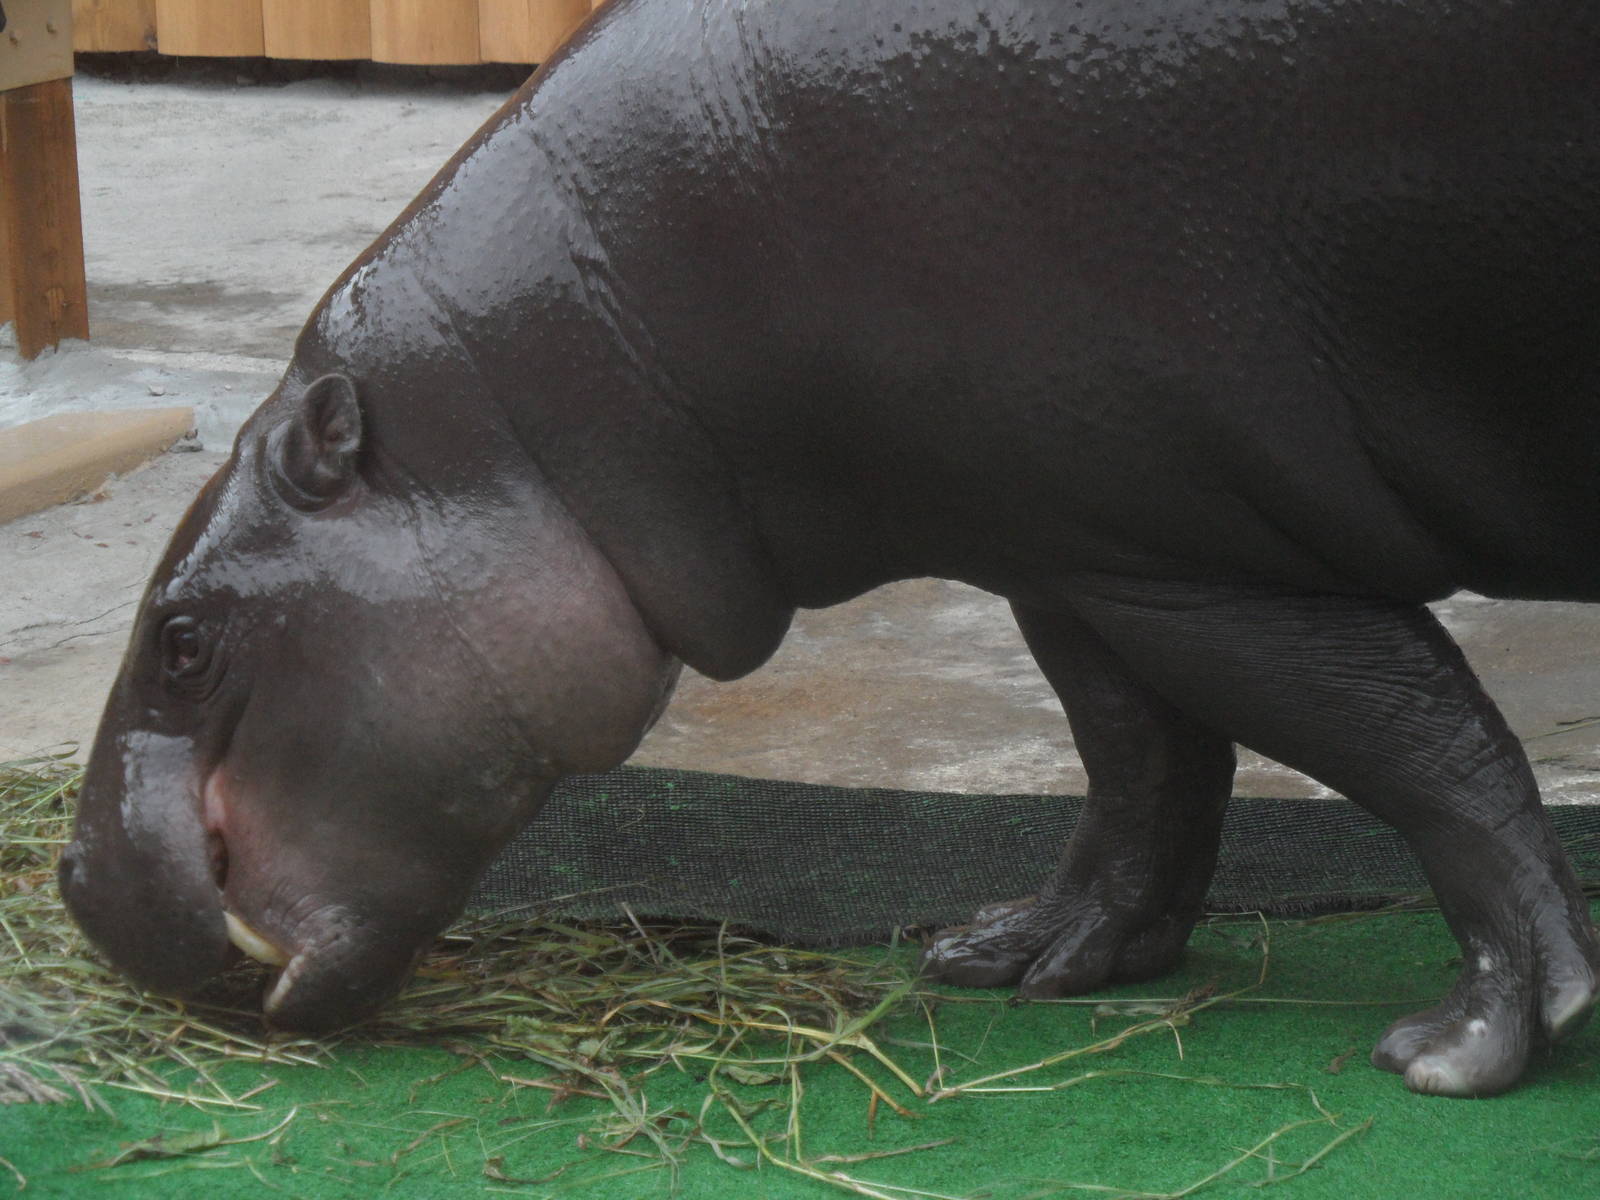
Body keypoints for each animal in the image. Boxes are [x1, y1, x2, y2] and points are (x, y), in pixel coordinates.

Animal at [58, 0, 1600, 1097]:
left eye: (182, 640)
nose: (69, 882)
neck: (530, 413)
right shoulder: (1072, 543)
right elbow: (1140, 762)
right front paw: (1018, 956)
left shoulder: (1200, 564)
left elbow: (1419, 747)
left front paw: (1463, 1051)